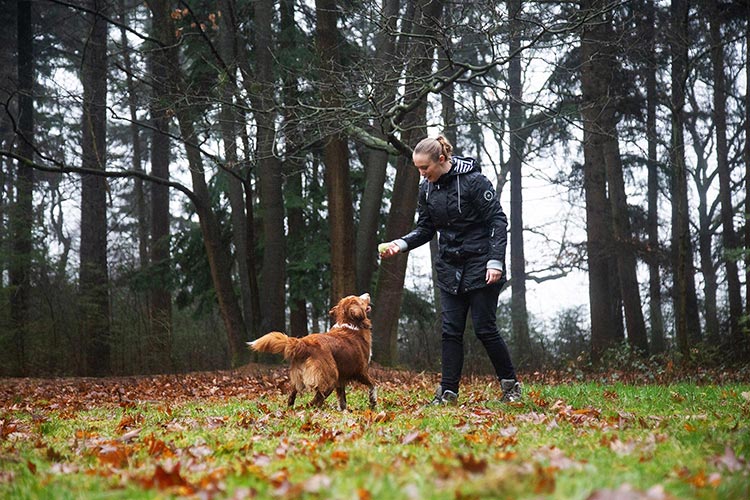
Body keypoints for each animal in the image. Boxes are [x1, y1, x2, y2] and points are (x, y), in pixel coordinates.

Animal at [248, 292, 378, 410]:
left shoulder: (341, 379)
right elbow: (373, 384)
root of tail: (304, 343)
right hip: (329, 379)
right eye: (360, 299)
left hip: (299, 380)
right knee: (314, 401)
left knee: (292, 396)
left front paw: (343, 412)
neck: (350, 323)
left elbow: (342, 400)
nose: (367, 293)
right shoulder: (361, 371)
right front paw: (373, 403)